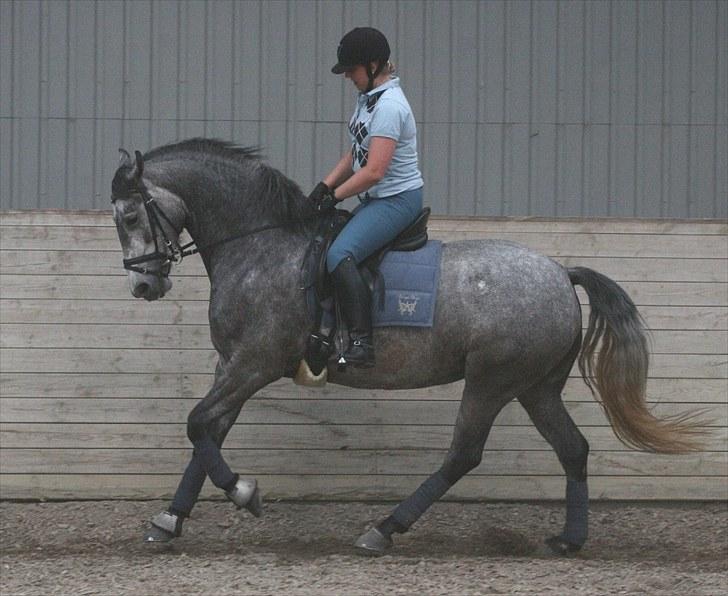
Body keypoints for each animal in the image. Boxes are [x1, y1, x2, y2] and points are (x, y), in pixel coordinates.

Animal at [109, 137, 704, 556]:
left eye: (131, 215)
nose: (143, 286)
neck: (258, 245)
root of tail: (561, 273)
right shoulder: (231, 364)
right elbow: (207, 432)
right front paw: (169, 520)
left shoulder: (255, 363)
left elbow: (196, 423)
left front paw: (244, 494)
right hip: (536, 386)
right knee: (573, 449)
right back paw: (569, 540)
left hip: (492, 380)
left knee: (464, 454)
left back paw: (384, 529)